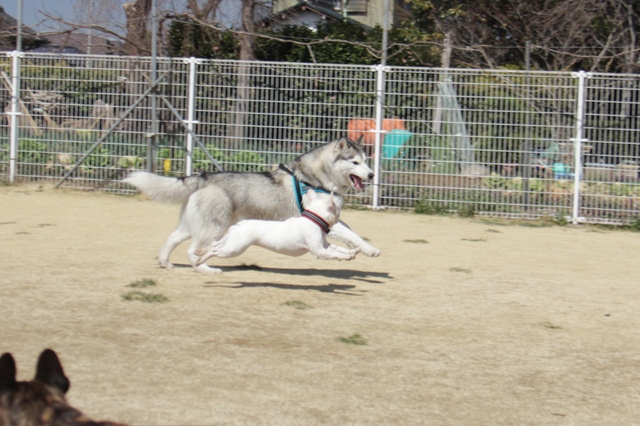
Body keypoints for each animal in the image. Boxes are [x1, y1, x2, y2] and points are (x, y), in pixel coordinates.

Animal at [195, 190, 360, 266]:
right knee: (215, 251)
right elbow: (335, 254)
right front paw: (346, 257)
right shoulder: (319, 251)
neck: (314, 219)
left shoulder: (324, 245)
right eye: (337, 209)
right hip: (234, 248)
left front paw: (353, 252)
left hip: (230, 242)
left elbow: (339, 248)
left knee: (214, 245)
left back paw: (200, 253)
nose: (340, 213)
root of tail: (239, 224)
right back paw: (201, 259)